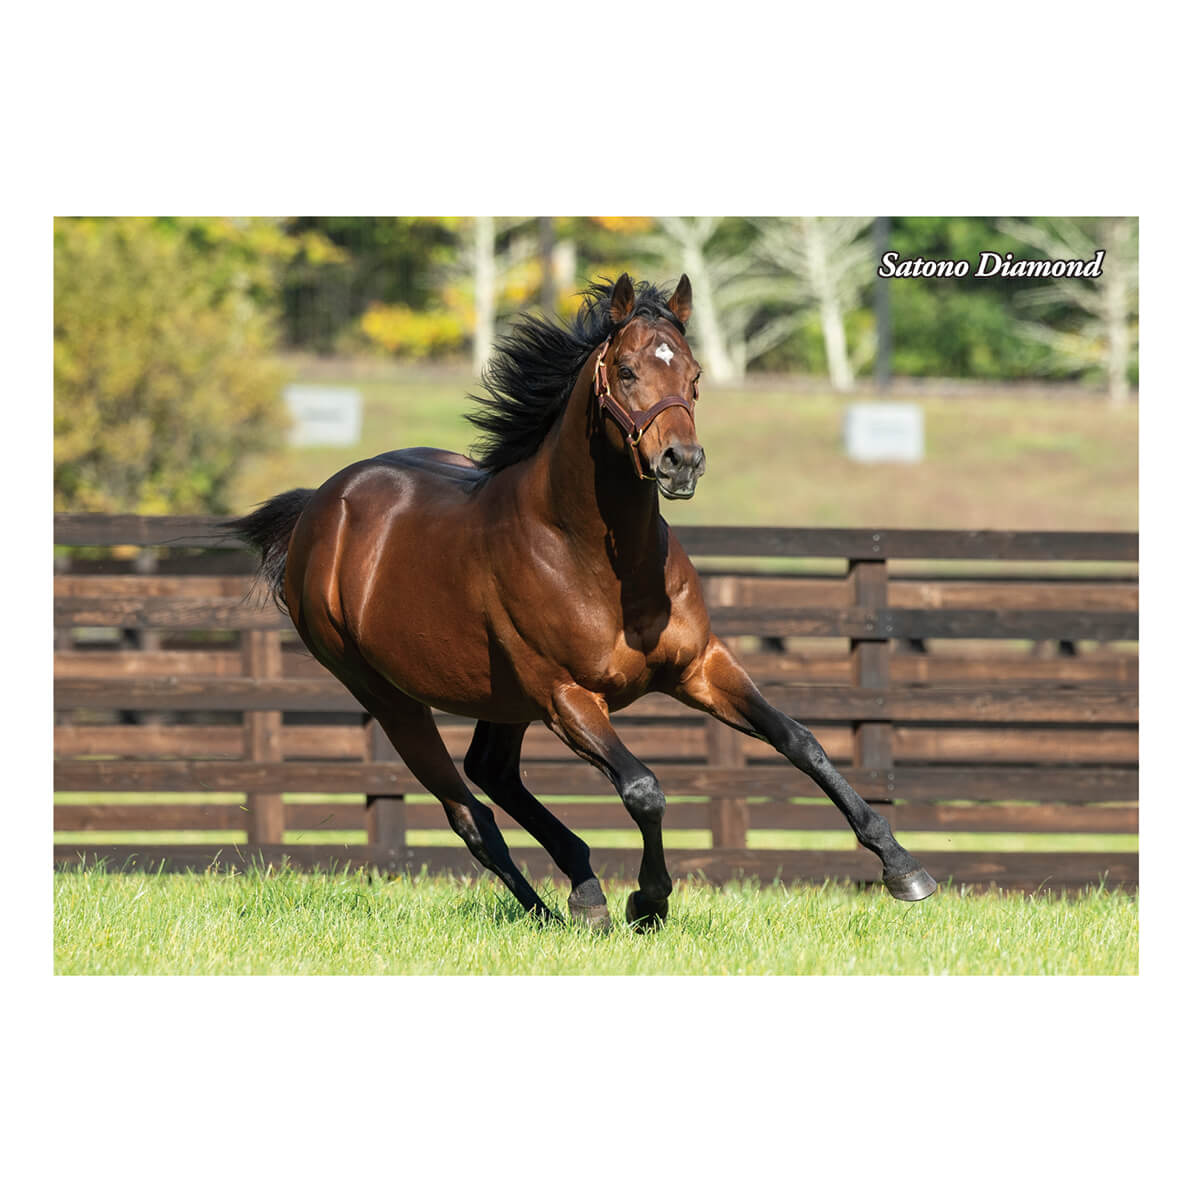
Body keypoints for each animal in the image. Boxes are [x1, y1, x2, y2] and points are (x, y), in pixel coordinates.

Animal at [227, 273, 937, 930]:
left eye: (694, 373)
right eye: (625, 370)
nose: (682, 462)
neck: (595, 559)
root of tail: (321, 508)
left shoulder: (699, 666)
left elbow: (800, 741)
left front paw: (904, 870)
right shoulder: (567, 697)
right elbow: (644, 790)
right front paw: (648, 900)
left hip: (504, 700)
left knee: (492, 773)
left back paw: (580, 890)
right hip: (390, 697)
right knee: (469, 811)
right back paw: (557, 908)